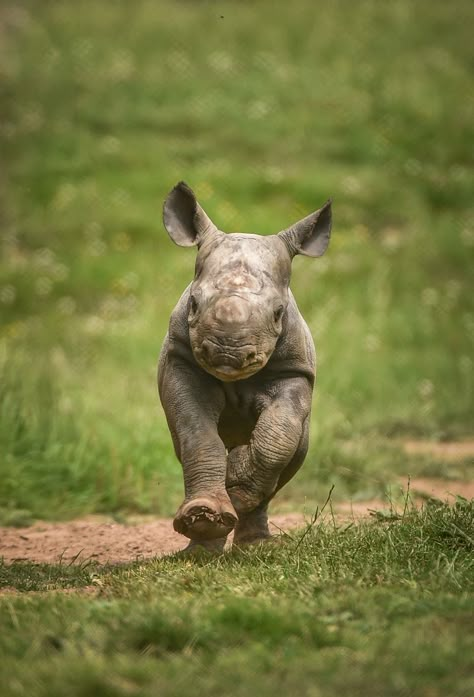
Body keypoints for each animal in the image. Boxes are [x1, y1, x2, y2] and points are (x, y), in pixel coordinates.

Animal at [157, 184, 332, 548]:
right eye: (193, 304)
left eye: (279, 312)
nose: (228, 354)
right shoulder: (182, 360)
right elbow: (196, 433)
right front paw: (206, 513)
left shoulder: (293, 370)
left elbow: (280, 431)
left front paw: (236, 483)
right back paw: (202, 542)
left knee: (294, 452)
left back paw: (253, 545)